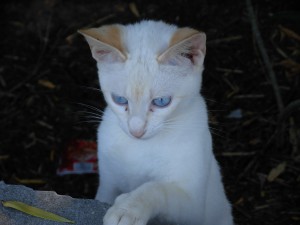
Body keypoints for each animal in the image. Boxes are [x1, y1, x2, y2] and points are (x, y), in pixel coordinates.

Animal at [78, 20, 233, 225]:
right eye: (120, 99)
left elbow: (156, 188)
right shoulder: (107, 184)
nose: (136, 131)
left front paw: (128, 207)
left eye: (161, 101)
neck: (139, 148)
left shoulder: (193, 208)